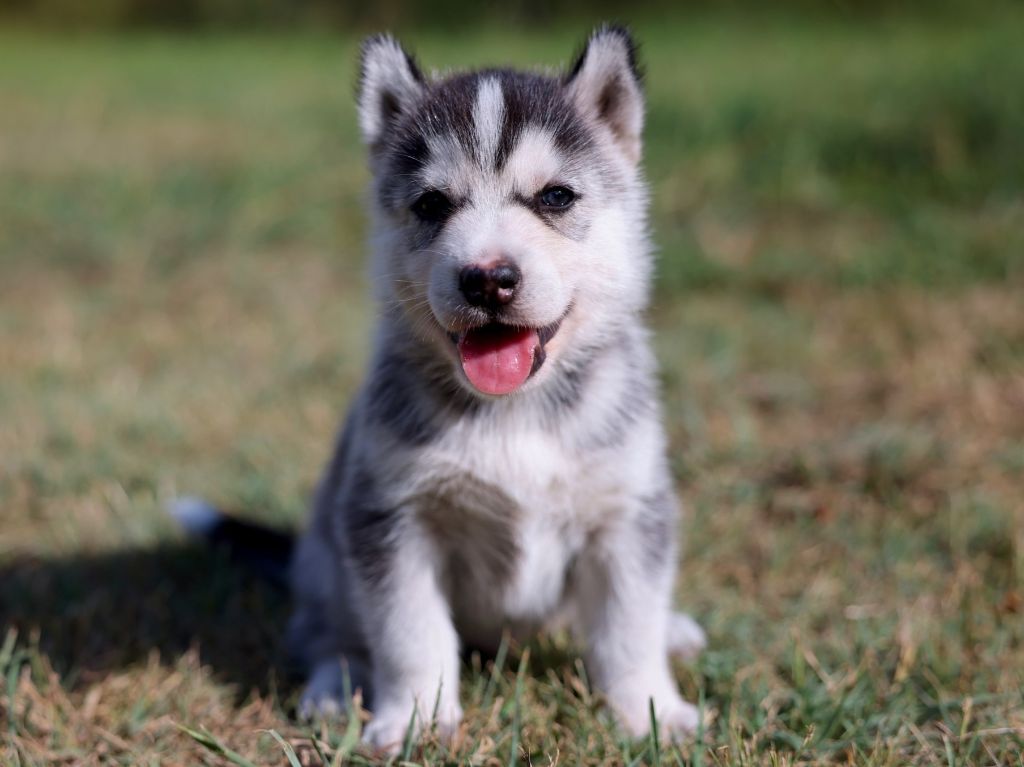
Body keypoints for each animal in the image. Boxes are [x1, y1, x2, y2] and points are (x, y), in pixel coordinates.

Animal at [175, 25, 705, 752]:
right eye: (432, 204)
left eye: (556, 197)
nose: (487, 279)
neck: (516, 413)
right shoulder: (390, 518)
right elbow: (410, 633)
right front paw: (415, 718)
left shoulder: (628, 509)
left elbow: (629, 626)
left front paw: (650, 710)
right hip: (328, 562)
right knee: (324, 635)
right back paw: (334, 688)